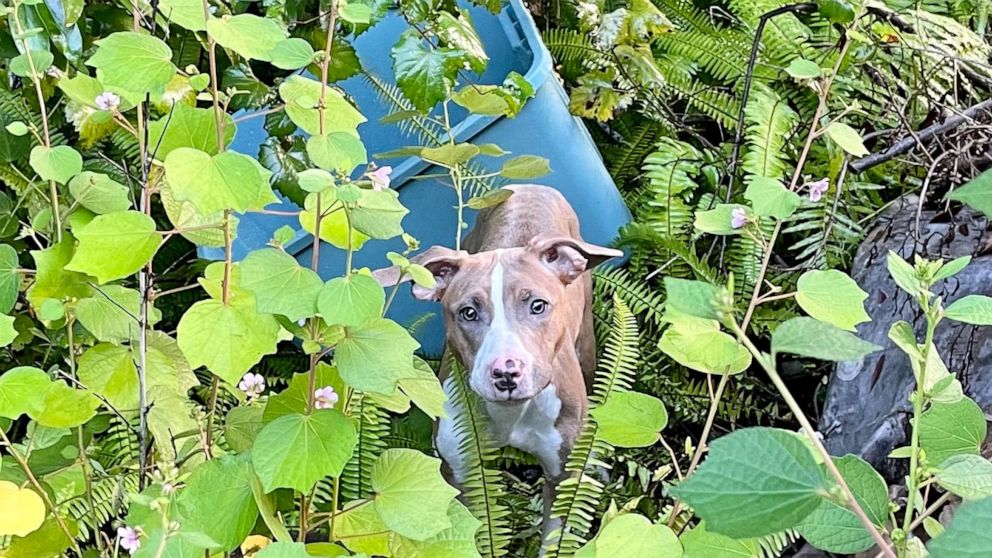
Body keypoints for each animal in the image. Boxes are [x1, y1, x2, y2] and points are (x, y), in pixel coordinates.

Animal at [374, 186, 620, 544]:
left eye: (537, 305)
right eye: (468, 312)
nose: (506, 372)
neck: (511, 414)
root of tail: (530, 187)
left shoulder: (559, 475)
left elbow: (553, 537)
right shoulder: (461, 473)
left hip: (586, 344)